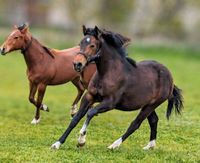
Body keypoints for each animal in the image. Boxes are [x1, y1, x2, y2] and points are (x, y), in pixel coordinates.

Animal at [51, 25, 183, 150]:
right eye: (80, 44)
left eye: (92, 45)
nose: (77, 64)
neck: (107, 73)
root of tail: (170, 78)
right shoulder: (89, 97)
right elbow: (75, 119)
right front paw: (57, 144)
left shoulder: (110, 103)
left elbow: (90, 112)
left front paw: (81, 140)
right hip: (147, 105)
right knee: (154, 120)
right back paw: (150, 146)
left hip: (151, 105)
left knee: (135, 124)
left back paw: (114, 145)